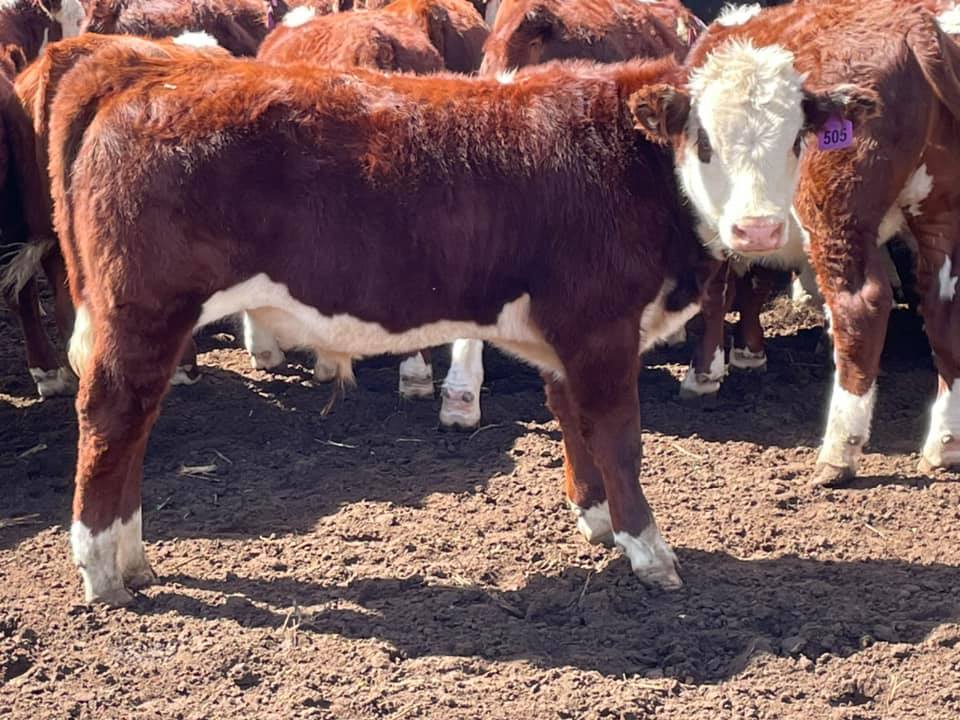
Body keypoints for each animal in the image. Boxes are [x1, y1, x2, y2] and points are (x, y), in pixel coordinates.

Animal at [47, 45, 719, 604]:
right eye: (704, 141)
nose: (746, 226)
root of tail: (146, 69)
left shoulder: (564, 337)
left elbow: (573, 420)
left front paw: (599, 521)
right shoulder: (601, 326)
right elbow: (618, 437)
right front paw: (650, 553)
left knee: (137, 423)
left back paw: (133, 562)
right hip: (144, 311)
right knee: (112, 417)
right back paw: (103, 573)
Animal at [630, 0, 960, 484]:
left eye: (793, 140)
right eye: (707, 144)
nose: (756, 227)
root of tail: (912, 24)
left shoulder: (715, 225)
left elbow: (717, 292)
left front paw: (704, 373)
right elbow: (751, 283)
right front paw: (749, 353)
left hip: (834, 217)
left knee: (861, 307)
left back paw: (839, 451)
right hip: (939, 213)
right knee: (942, 308)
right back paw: (944, 444)